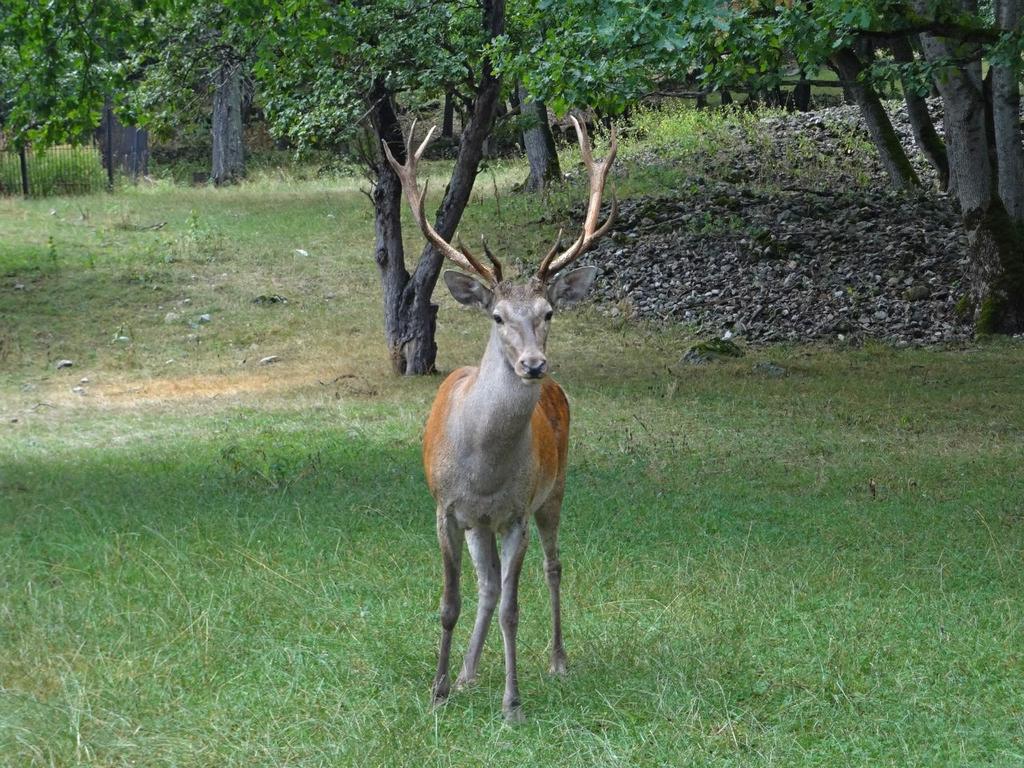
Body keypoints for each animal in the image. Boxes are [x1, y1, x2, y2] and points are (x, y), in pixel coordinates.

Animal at [382, 112, 614, 720]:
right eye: (497, 316)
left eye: (548, 312)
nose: (533, 364)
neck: (484, 468)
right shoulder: (446, 508)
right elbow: (450, 601)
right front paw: (439, 689)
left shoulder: (514, 512)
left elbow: (514, 605)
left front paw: (512, 703)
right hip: (476, 525)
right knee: (485, 587)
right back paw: (467, 674)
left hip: (555, 491)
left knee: (551, 570)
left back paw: (556, 660)